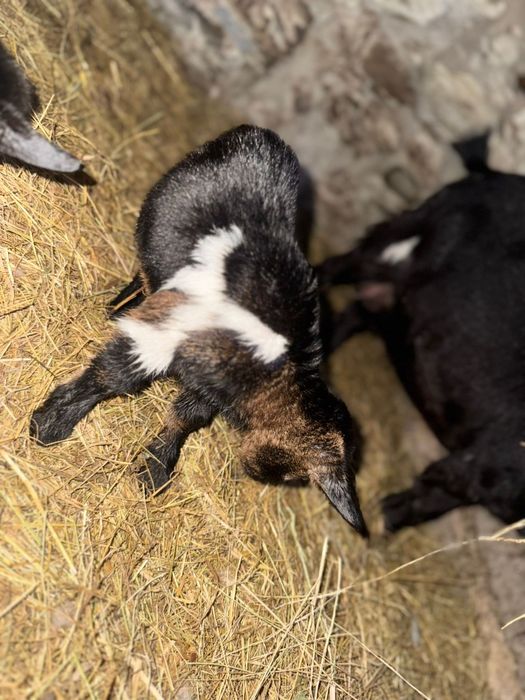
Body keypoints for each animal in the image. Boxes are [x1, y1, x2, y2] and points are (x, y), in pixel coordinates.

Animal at [30, 125, 368, 536]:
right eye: (295, 477)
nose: (255, 475)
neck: (277, 367)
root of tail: (260, 135)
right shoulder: (170, 331)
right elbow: (117, 375)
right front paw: (53, 421)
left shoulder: (210, 382)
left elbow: (188, 416)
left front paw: (156, 467)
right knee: (142, 276)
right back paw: (116, 309)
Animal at [318, 134, 525, 532]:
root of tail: (489, 174)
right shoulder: (484, 461)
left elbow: (423, 505)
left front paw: (385, 520)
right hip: (400, 239)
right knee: (332, 268)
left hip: (394, 298)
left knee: (358, 310)